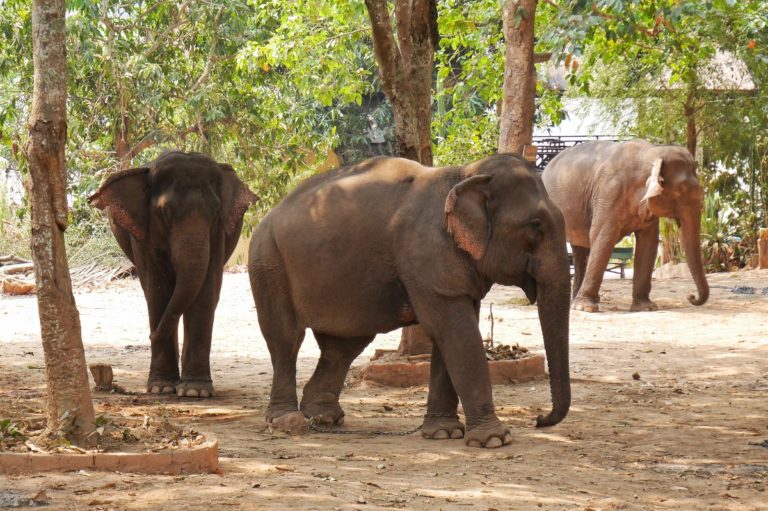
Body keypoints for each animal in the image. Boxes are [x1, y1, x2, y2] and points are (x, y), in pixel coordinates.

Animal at [89, 150, 258, 398]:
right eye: (165, 212)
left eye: (216, 212)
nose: (150, 336)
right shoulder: (143, 235)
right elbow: (158, 290)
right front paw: (161, 388)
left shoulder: (218, 234)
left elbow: (206, 291)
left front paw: (194, 391)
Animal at [249, 155, 572, 448]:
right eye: (536, 225)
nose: (539, 419)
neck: (466, 173)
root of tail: (268, 214)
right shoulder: (427, 255)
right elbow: (455, 331)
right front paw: (494, 440)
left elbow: (449, 334)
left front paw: (444, 433)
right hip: (268, 263)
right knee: (286, 338)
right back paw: (286, 419)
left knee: (342, 347)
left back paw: (324, 417)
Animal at [540, 141, 708, 316]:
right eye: (680, 190)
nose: (691, 296)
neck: (653, 152)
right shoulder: (609, 193)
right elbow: (603, 238)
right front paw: (586, 308)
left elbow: (648, 244)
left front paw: (646, 308)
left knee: (580, 250)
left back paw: (575, 302)